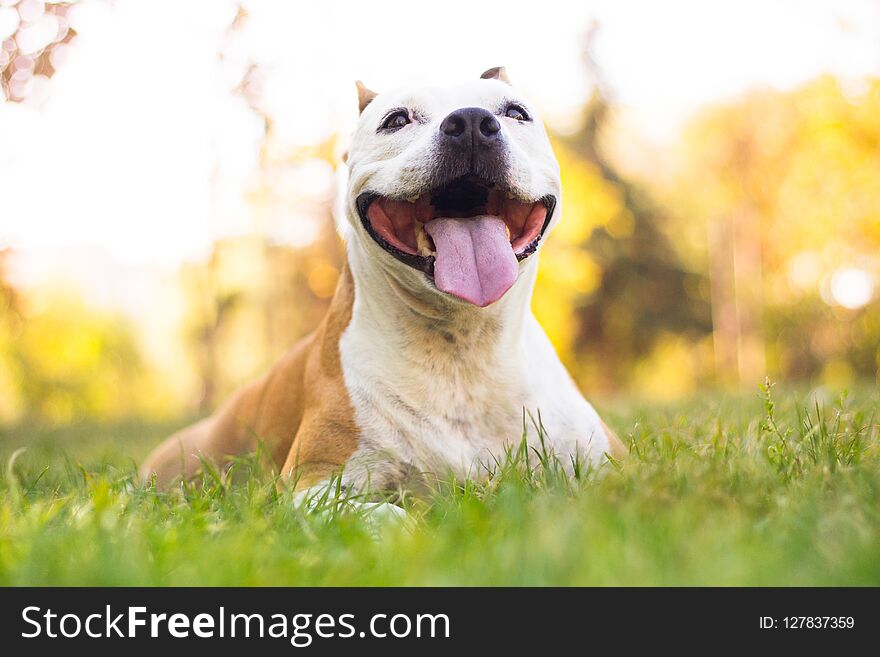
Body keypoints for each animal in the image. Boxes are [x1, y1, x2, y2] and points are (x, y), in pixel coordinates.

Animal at [141, 68, 624, 498]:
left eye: (515, 113)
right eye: (396, 119)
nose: (470, 122)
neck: (463, 350)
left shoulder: (611, 462)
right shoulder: (314, 485)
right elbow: (390, 514)